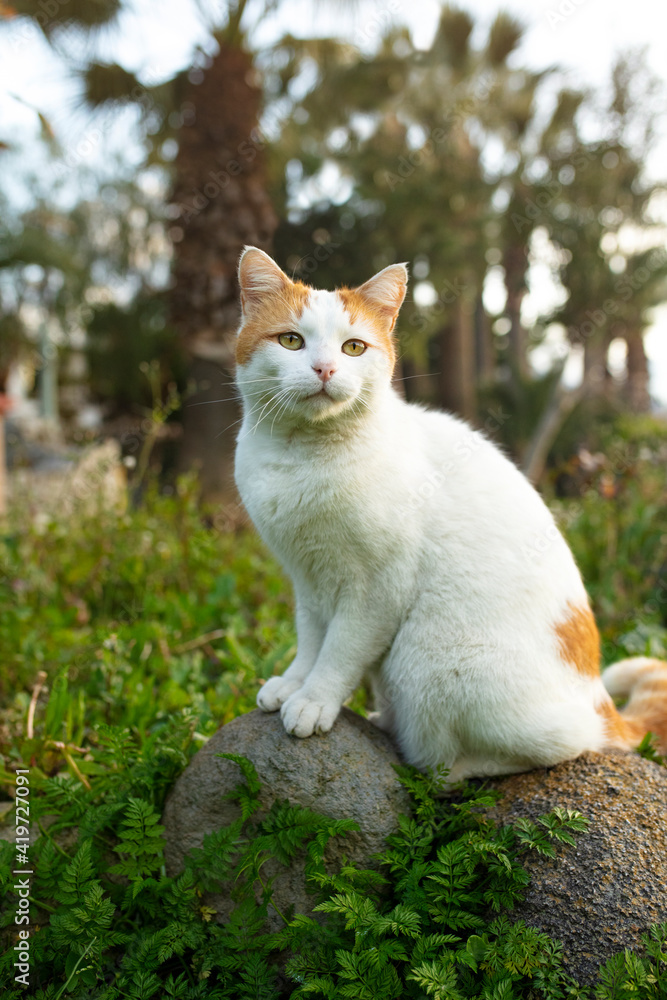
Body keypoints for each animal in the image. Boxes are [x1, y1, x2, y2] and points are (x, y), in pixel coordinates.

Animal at [234, 244, 667, 780]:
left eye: (353, 348)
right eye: (291, 341)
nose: (324, 370)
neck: (301, 458)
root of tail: (600, 703)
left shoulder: (377, 589)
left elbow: (340, 650)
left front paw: (314, 699)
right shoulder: (309, 580)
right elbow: (312, 640)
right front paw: (294, 682)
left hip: (426, 658)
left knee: (554, 746)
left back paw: (440, 767)